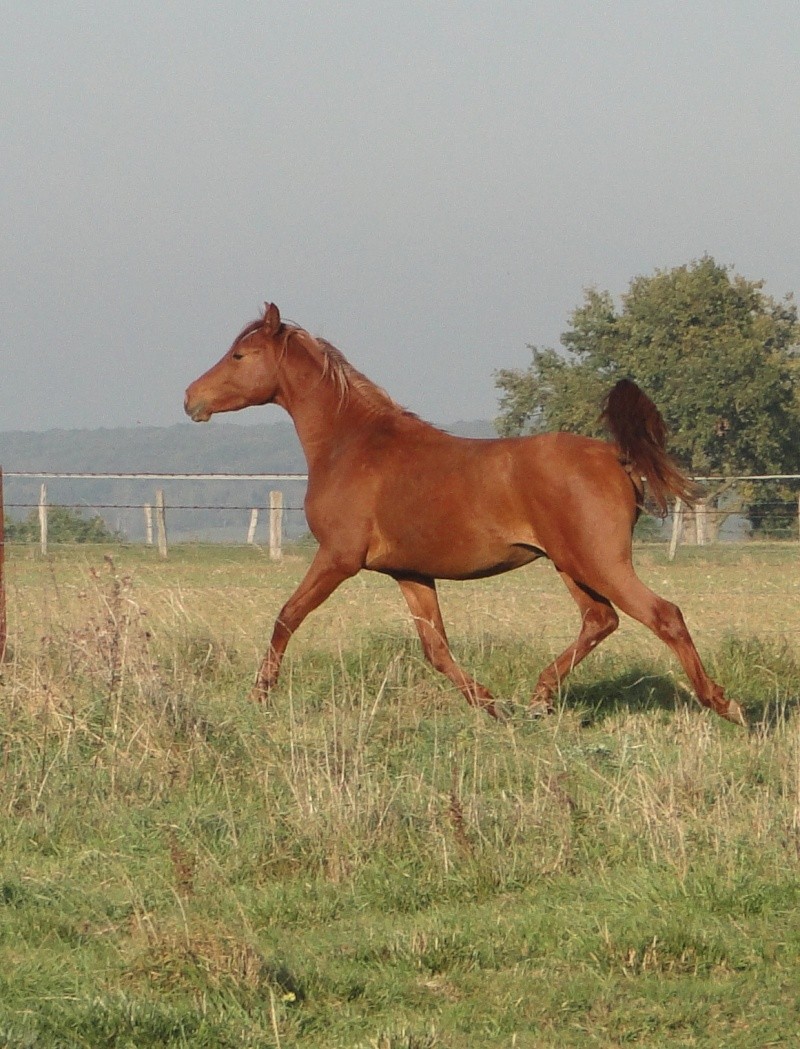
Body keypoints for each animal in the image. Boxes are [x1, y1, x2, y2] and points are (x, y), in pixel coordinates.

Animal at [184, 304, 746, 725]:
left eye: (240, 354)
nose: (191, 398)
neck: (354, 445)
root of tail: (615, 456)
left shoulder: (338, 558)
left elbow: (286, 617)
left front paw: (259, 696)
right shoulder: (409, 572)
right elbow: (436, 648)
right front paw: (490, 704)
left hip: (599, 562)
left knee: (664, 615)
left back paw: (725, 704)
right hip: (572, 565)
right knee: (600, 620)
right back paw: (539, 698)